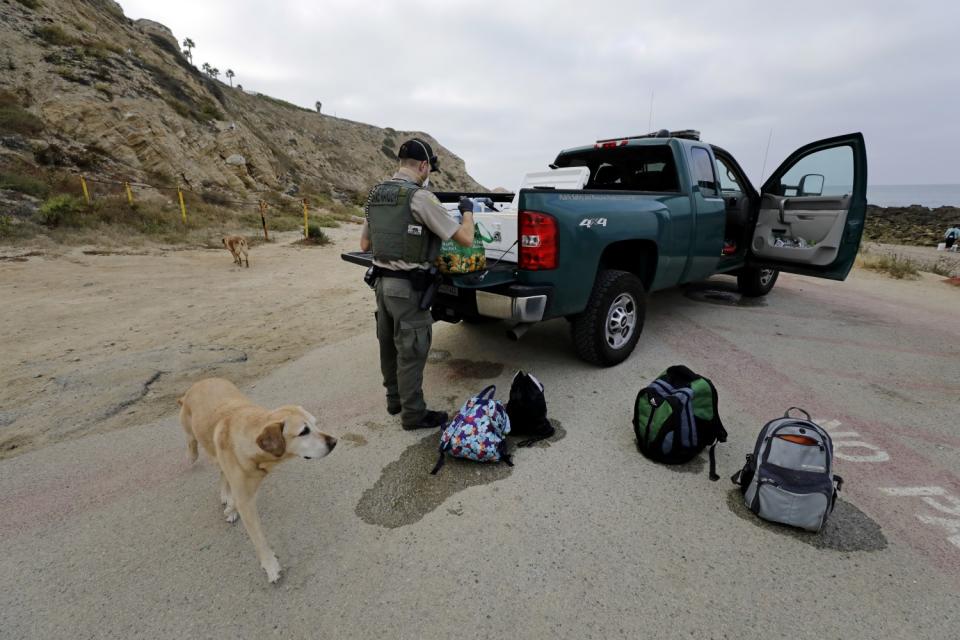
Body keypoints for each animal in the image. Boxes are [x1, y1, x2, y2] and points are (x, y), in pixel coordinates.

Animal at [179, 378, 338, 584]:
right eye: (304, 431)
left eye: (316, 424)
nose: (334, 442)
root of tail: (201, 381)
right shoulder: (246, 500)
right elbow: (259, 539)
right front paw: (271, 566)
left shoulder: (245, 489)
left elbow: (234, 495)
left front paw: (230, 507)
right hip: (192, 433)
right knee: (193, 446)